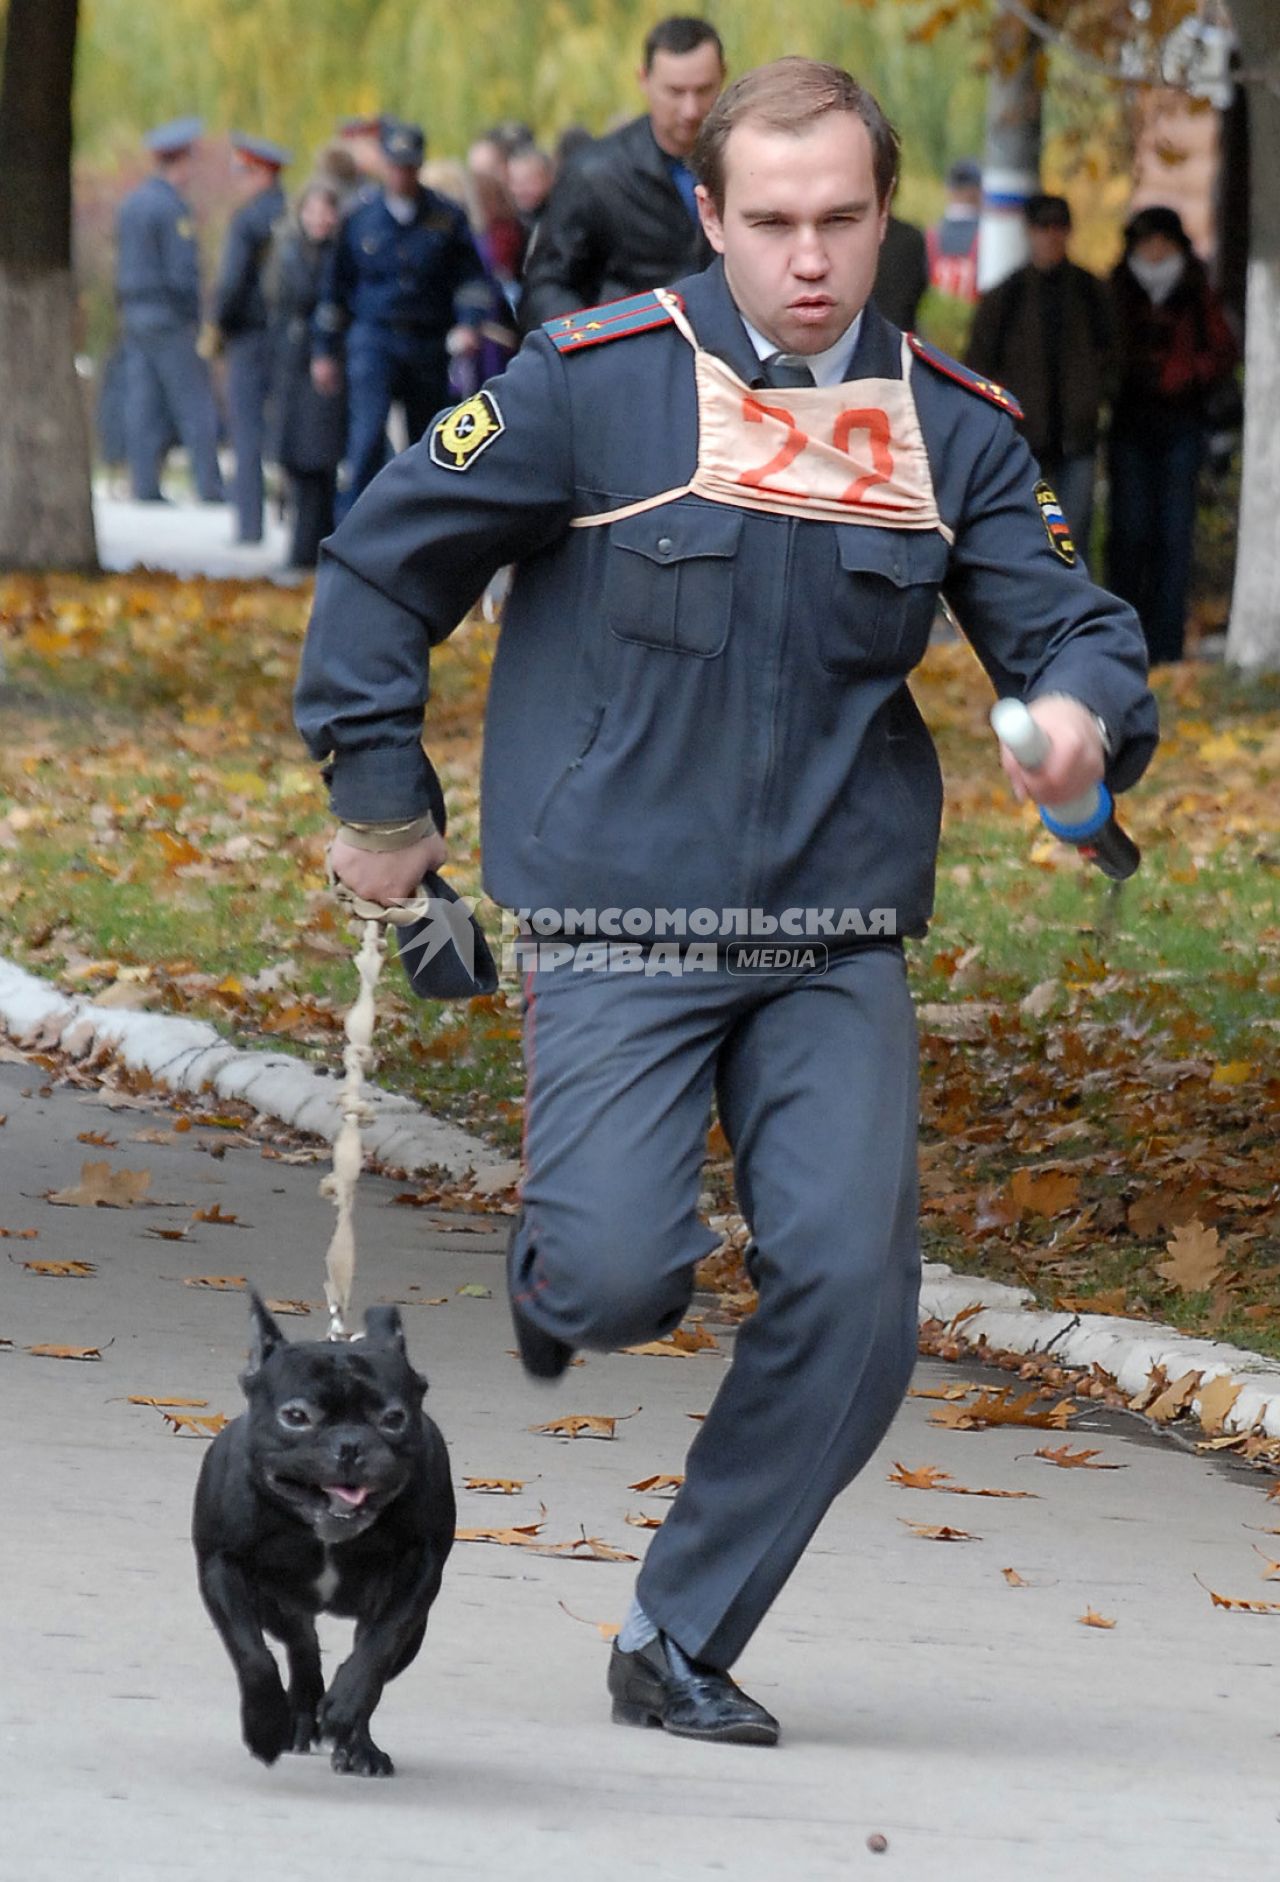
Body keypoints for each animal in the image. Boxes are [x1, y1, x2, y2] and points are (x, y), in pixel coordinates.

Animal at [194, 1294, 455, 1776]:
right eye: (296, 1417)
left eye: (394, 1418)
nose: (350, 1444)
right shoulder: (223, 1568)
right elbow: (252, 1654)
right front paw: (265, 1726)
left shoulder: (418, 1573)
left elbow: (378, 1646)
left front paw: (346, 1708)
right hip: (273, 1603)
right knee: (302, 1642)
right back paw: (298, 1715)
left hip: (412, 1633)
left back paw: (354, 1741)